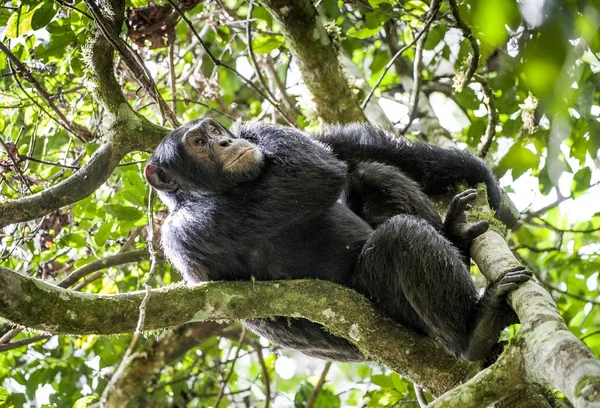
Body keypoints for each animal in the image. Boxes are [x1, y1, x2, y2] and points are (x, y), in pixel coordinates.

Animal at [145, 118, 528, 364]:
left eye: (213, 131)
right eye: (199, 143)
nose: (225, 142)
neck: (202, 194)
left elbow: (342, 148)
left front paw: (480, 174)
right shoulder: (187, 231)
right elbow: (314, 171)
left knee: (371, 170)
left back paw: (455, 238)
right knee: (401, 238)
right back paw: (474, 333)